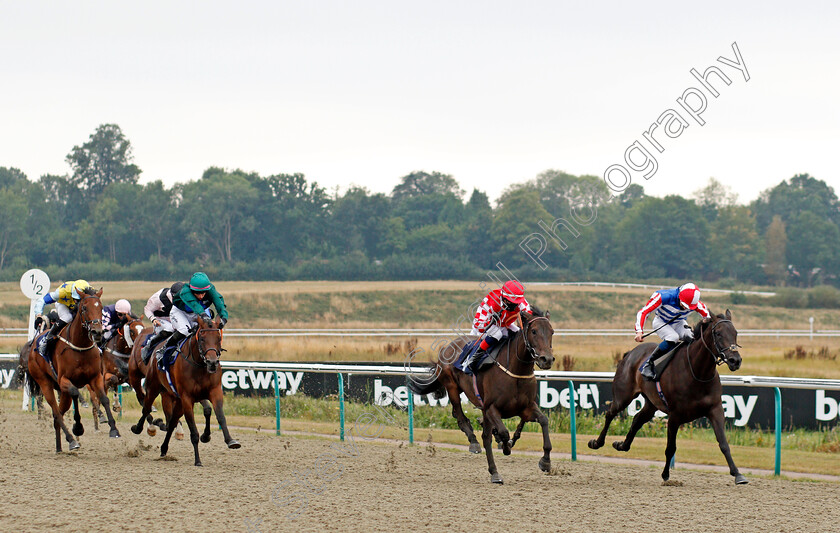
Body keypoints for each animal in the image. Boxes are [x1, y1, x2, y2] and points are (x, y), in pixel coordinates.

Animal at [21, 286, 121, 448]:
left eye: (100, 307)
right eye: (84, 308)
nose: (97, 332)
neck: (80, 347)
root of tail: (33, 343)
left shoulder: (95, 377)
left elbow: (104, 398)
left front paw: (113, 429)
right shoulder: (64, 379)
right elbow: (75, 393)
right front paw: (78, 427)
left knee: (59, 413)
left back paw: (59, 447)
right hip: (45, 383)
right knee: (56, 412)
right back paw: (71, 439)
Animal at [129, 314, 240, 464]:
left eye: (218, 338)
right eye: (202, 338)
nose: (212, 362)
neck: (200, 366)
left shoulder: (214, 392)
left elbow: (219, 416)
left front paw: (229, 440)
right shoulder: (187, 398)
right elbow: (193, 429)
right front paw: (197, 460)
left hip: (177, 400)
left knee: (172, 422)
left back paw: (164, 448)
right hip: (153, 387)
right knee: (146, 408)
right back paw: (139, 428)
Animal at [408, 306, 556, 484]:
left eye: (552, 332)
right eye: (534, 331)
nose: (546, 359)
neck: (515, 371)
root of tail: (448, 347)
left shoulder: (526, 408)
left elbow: (544, 421)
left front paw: (545, 462)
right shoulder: (491, 408)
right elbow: (503, 433)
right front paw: (505, 446)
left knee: (474, 426)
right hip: (452, 387)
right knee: (462, 417)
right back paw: (476, 445)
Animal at [584, 310, 748, 484]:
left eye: (735, 333)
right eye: (718, 334)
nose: (735, 360)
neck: (698, 373)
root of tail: (630, 353)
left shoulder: (715, 410)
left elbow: (723, 443)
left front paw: (738, 474)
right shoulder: (675, 416)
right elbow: (671, 448)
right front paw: (665, 475)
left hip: (651, 404)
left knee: (637, 420)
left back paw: (622, 445)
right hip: (623, 396)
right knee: (610, 414)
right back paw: (597, 442)